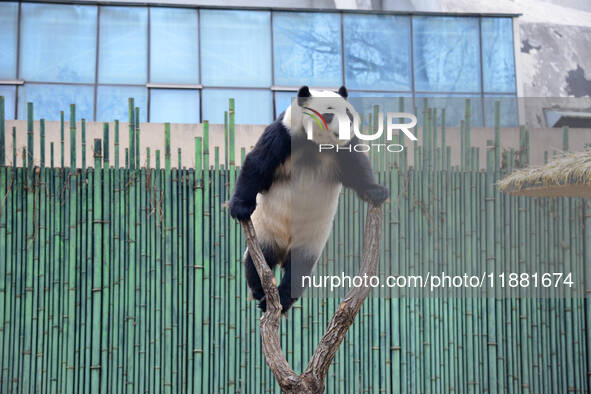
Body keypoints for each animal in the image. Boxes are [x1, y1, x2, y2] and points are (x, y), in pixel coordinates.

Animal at [229, 86, 390, 314]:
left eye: (349, 114)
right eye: (329, 114)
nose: (346, 128)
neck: (314, 144)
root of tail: (283, 249)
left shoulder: (343, 149)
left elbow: (356, 168)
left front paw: (376, 192)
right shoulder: (284, 134)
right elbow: (257, 163)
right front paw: (240, 208)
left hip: (309, 244)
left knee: (298, 272)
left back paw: (282, 298)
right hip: (265, 232)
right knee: (256, 261)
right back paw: (262, 294)